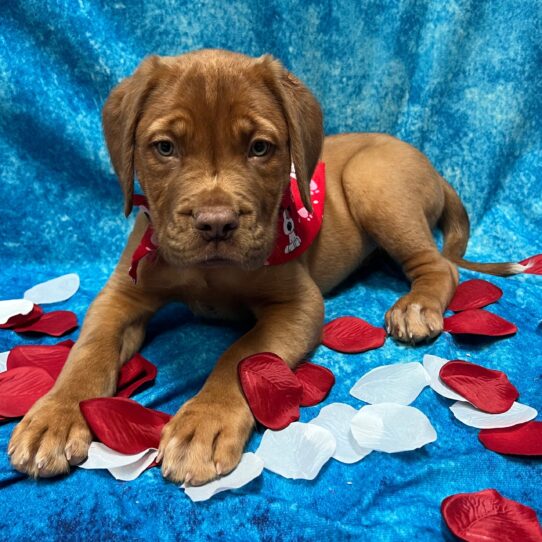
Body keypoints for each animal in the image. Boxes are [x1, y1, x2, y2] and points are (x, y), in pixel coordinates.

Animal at [7, 50, 520, 484]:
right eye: (165, 148)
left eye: (259, 148)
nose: (216, 223)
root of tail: (429, 164)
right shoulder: (121, 295)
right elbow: (87, 351)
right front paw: (54, 416)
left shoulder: (297, 304)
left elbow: (242, 355)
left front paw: (204, 423)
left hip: (373, 181)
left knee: (440, 266)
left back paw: (415, 307)